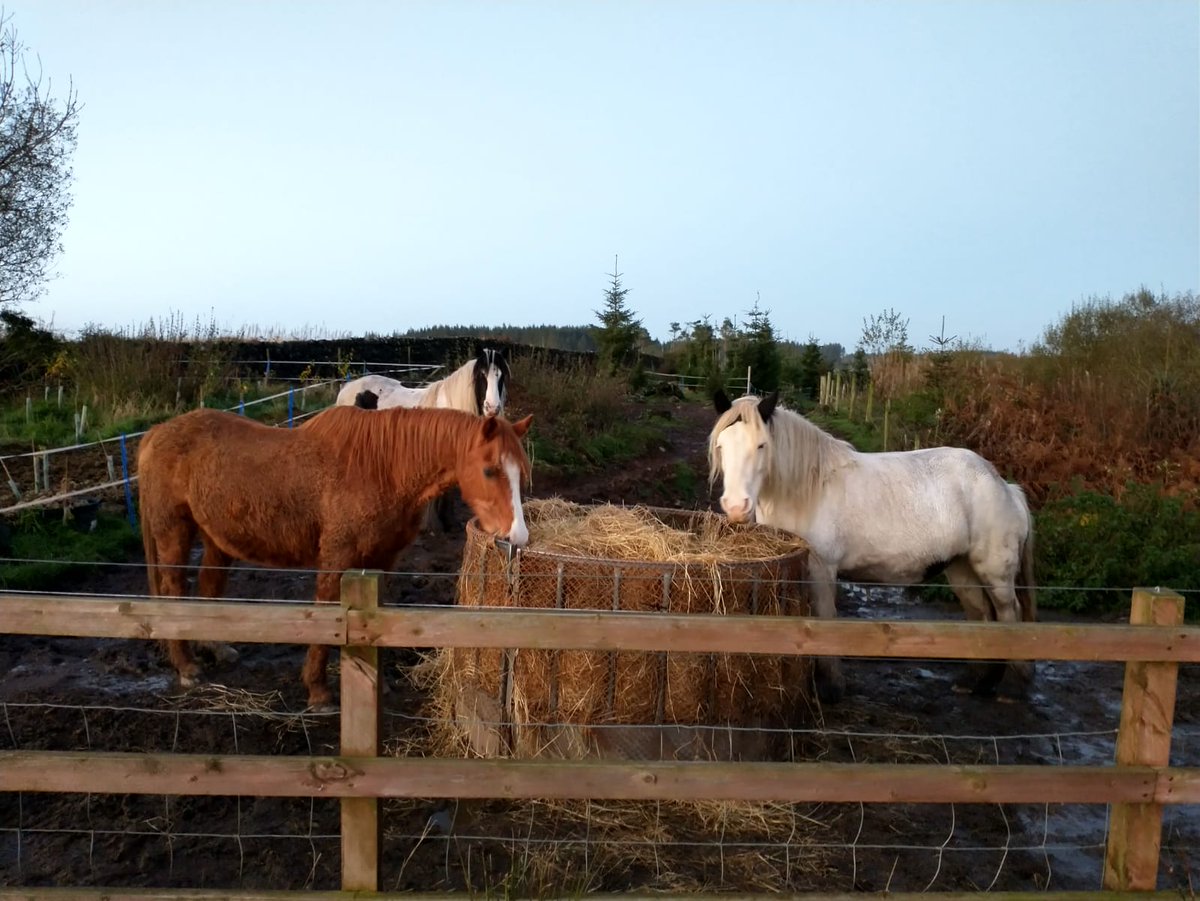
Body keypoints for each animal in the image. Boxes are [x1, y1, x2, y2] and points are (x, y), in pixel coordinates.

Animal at [138, 404, 533, 709]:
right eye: (489, 470)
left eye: (521, 472)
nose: (518, 536)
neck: (381, 470)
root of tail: (156, 433)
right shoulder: (336, 559)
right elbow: (326, 613)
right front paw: (318, 691)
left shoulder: (381, 562)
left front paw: (379, 684)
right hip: (174, 534)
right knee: (174, 591)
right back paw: (187, 667)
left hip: (216, 539)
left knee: (209, 585)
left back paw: (216, 649)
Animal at [709, 390, 1036, 703]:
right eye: (722, 447)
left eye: (761, 445)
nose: (736, 507)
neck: (808, 488)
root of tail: (1005, 487)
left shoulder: (822, 569)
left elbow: (824, 619)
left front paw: (831, 688)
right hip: (961, 568)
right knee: (982, 615)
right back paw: (976, 682)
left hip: (995, 573)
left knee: (1009, 616)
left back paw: (1012, 688)